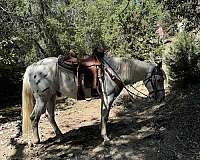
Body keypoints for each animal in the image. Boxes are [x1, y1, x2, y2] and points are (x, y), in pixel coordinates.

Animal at [21, 54, 166, 144]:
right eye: (159, 79)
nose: (161, 99)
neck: (115, 71)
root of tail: (32, 68)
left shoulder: (104, 98)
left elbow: (102, 115)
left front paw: (102, 133)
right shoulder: (108, 97)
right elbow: (105, 115)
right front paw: (105, 137)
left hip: (51, 97)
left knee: (50, 116)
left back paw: (60, 136)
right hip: (42, 98)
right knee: (34, 117)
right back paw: (37, 140)